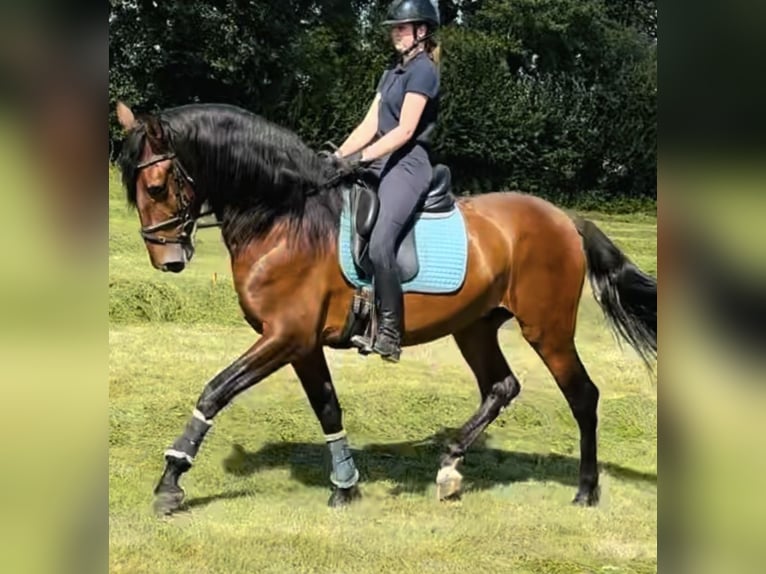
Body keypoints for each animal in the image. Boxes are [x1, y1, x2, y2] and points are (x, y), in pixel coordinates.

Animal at [114, 101, 657, 515]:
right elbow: (328, 408)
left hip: (547, 329)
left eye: (156, 187)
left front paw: (171, 481)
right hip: (475, 327)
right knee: (502, 386)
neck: (284, 218)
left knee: (582, 396)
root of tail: (565, 219)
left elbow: (214, 392)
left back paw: (585, 491)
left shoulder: (284, 336)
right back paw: (449, 465)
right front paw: (345, 486)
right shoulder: (301, 344)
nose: (166, 260)